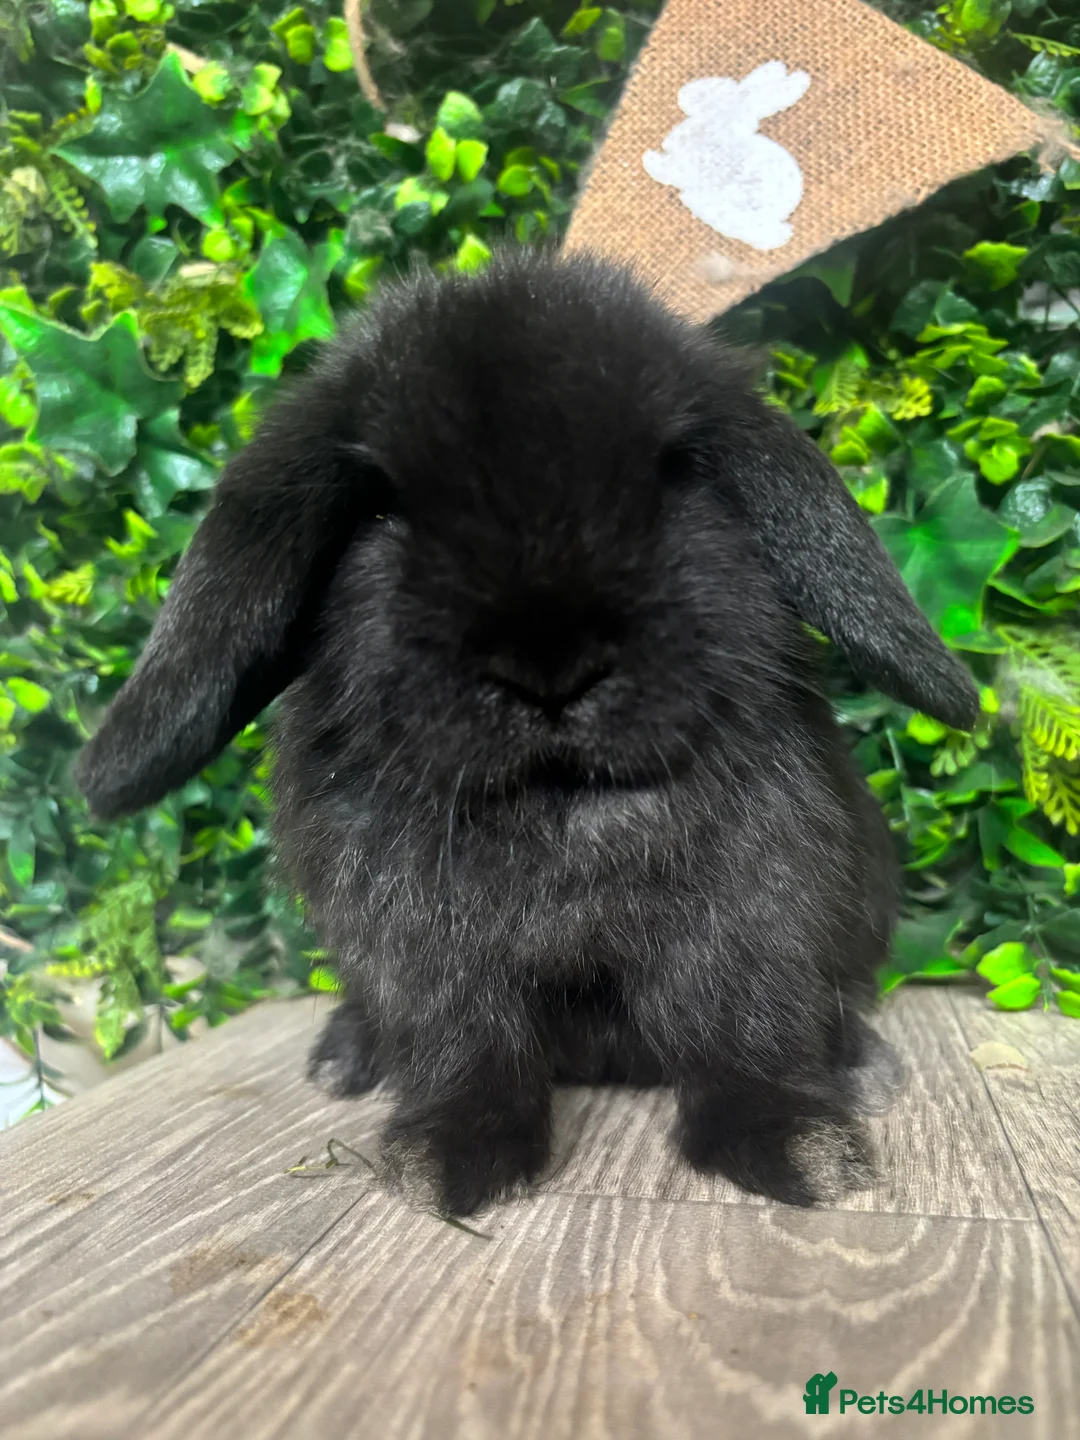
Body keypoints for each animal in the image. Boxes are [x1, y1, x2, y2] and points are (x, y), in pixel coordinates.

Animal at [75, 248, 978, 1218]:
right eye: (381, 509)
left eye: (673, 476)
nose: (552, 666)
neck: (562, 812)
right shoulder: (424, 953)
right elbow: (464, 1046)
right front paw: (445, 1160)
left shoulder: (756, 920)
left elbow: (746, 1030)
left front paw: (799, 1146)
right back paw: (344, 1057)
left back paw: (863, 1066)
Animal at [643, 62, 811, 250]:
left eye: (706, 92)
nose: (683, 93)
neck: (721, 119)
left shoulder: (685, 163)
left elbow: (666, 169)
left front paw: (649, 158)